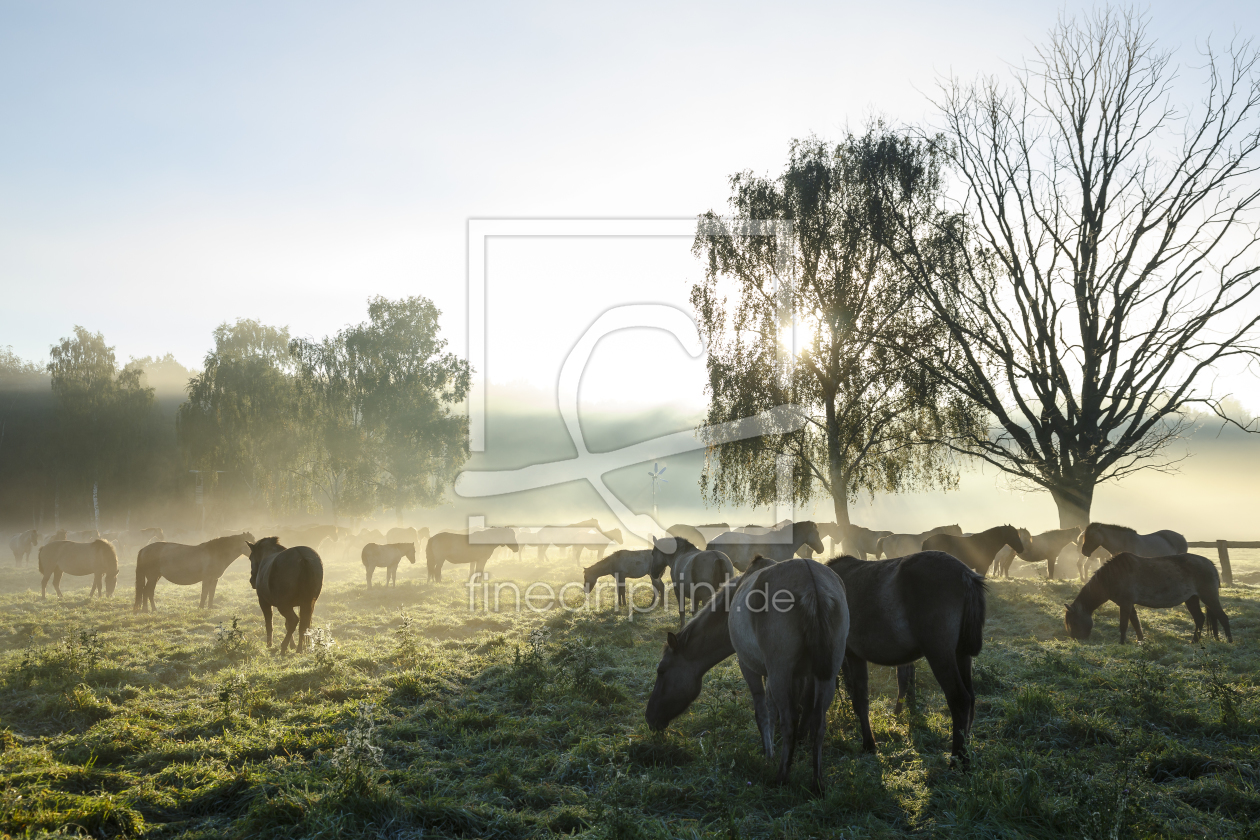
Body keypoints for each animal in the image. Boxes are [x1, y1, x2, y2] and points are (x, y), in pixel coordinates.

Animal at [650, 559, 846, 790]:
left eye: (661, 671)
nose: (650, 717)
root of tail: (813, 584)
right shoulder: (797, 675)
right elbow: (774, 711)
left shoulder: (750, 667)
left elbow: (763, 713)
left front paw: (769, 755)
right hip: (827, 675)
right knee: (818, 724)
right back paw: (817, 783)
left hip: (780, 673)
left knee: (790, 721)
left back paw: (781, 777)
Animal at [821, 551, 987, 770]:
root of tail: (965, 574)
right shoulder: (855, 657)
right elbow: (861, 698)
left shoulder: (851, 656)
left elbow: (858, 699)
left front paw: (868, 744)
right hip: (961, 654)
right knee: (971, 699)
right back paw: (964, 753)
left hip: (940, 653)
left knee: (960, 699)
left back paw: (958, 760)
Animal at [1063, 554, 1229, 649]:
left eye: (1074, 622)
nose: (1076, 639)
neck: (1113, 576)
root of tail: (1211, 564)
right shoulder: (1128, 604)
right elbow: (1136, 623)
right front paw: (1140, 642)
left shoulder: (1125, 603)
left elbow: (1124, 625)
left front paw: (1122, 643)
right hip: (1192, 599)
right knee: (1200, 618)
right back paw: (1194, 641)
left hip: (1209, 597)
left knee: (1223, 617)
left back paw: (1230, 641)